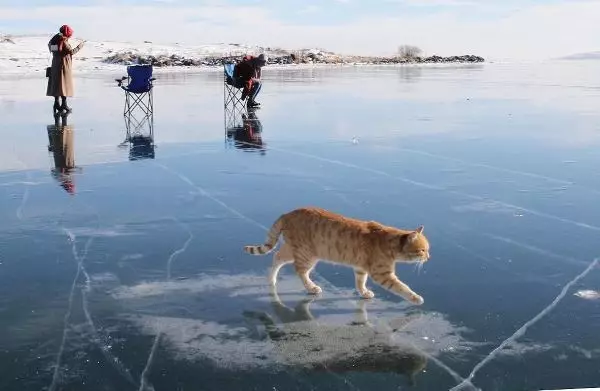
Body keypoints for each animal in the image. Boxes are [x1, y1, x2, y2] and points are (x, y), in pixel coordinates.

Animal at [244, 207, 432, 304]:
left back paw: (271, 279)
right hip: (307, 254)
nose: (429, 257)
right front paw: (415, 298)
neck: (388, 242)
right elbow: (401, 287)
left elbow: (360, 282)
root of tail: (288, 213)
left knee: (276, 257)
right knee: (300, 271)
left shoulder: (360, 268)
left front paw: (363, 292)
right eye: (422, 250)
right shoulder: (382, 274)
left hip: (292, 249)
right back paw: (311, 287)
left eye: (427, 250)